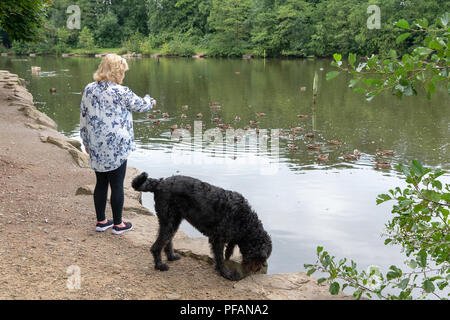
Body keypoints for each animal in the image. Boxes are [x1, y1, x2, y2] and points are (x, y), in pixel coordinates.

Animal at [130, 172, 270, 280]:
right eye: (259, 258)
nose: (257, 270)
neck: (245, 220)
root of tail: (159, 183)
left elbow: (227, 252)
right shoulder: (217, 239)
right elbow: (220, 257)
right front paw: (225, 273)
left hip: (172, 221)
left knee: (166, 240)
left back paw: (171, 256)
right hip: (169, 222)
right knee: (156, 247)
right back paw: (160, 266)